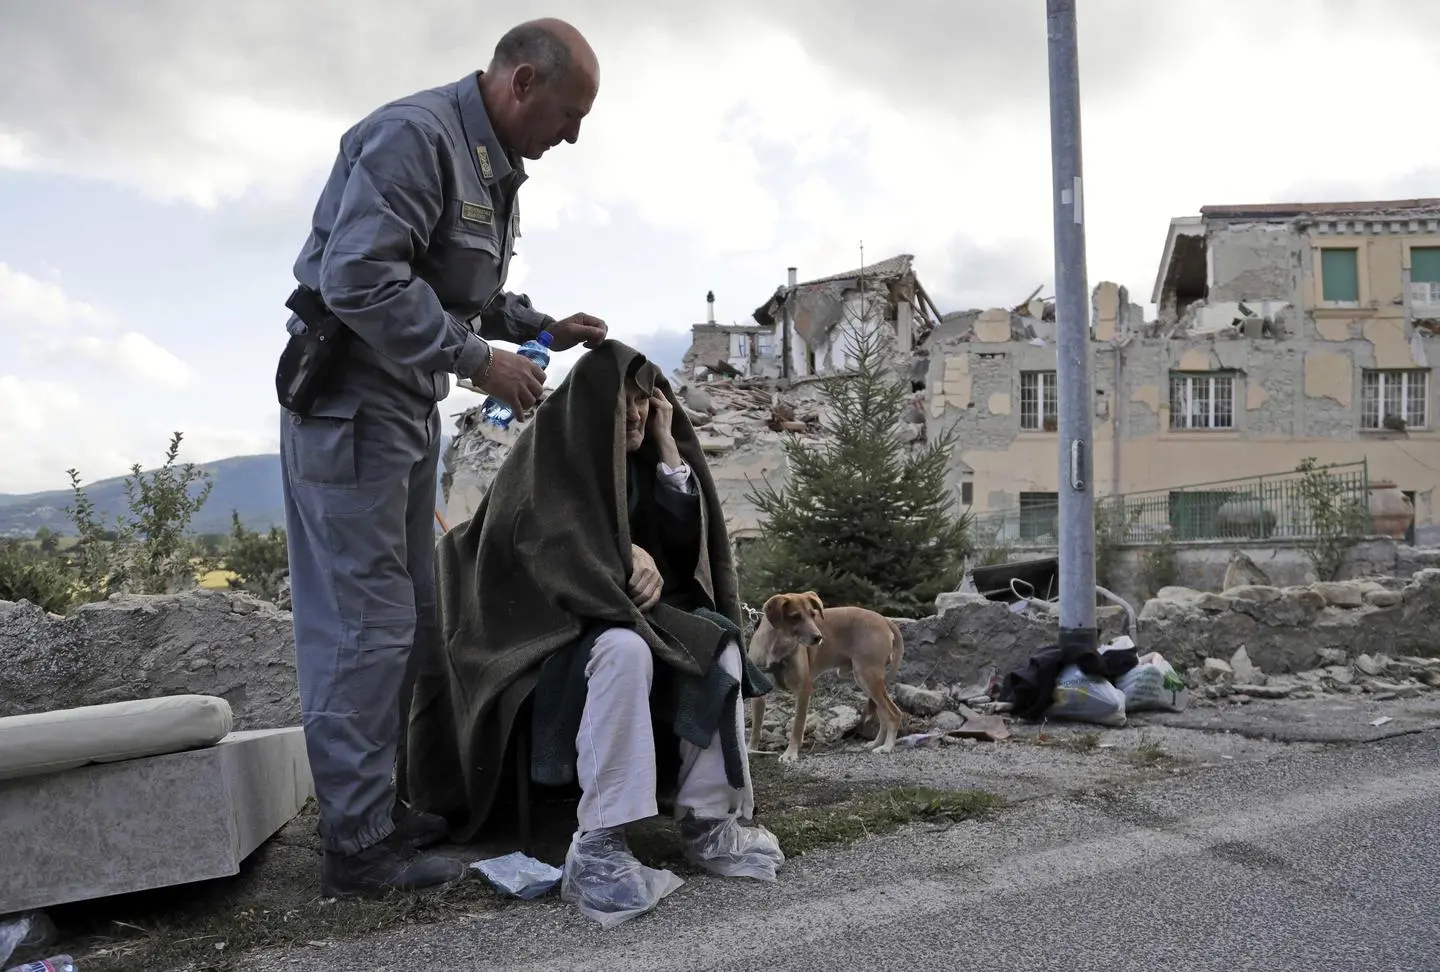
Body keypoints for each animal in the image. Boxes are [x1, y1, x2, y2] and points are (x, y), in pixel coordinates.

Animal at [748, 590, 904, 766]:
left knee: (894, 714)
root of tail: (884, 619)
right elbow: (756, 727)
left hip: (868, 677)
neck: (777, 647)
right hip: (867, 682)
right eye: (795, 616)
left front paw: (790, 753)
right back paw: (877, 743)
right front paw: (751, 750)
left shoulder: (804, 690)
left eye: (813, 614)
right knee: (884, 715)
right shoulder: (758, 694)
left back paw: (887, 747)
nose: (818, 637)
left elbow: (797, 726)